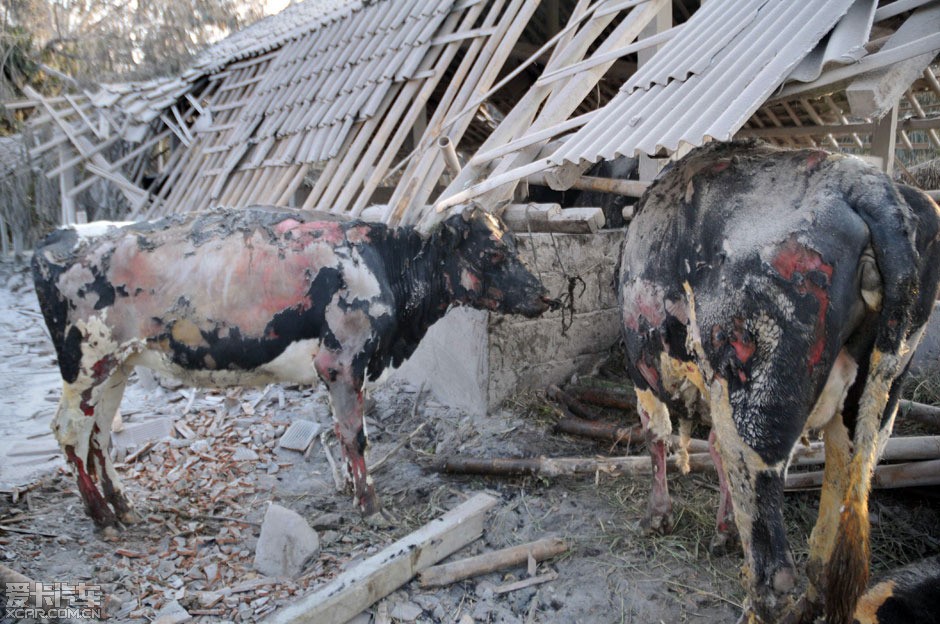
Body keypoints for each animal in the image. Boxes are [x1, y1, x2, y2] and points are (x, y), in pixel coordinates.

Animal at [31, 207, 560, 528]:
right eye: (493, 252)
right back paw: (100, 515)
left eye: (516, 245)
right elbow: (355, 436)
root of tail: (58, 234)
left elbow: (344, 432)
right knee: (68, 430)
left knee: (99, 435)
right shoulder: (341, 359)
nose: (546, 296)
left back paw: (122, 506)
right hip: (85, 362)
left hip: (117, 365)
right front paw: (370, 506)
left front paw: (353, 492)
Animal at [616, 141, 940, 624]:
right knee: (829, 541)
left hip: (754, 408)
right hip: (876, 400)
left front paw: (658, 517)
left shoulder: (644, 368)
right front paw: (725, 530)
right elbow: (712, 449)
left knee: (774, 570)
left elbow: (657, 436)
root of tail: (865, 182)